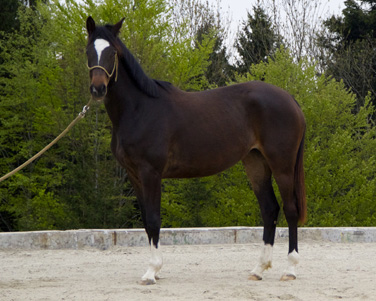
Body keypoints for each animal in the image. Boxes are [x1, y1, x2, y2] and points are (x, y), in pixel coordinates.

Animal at [86, 16, 306, 284]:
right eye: (88, 50)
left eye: (112, 52)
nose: (98, 89)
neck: (140, 109)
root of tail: (290, 99)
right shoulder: (134, 175)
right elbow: (147, 222)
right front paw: (154, 270)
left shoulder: (151, 173)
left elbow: (154, 220)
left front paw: (152, 271)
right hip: (256, 163)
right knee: (269, 209)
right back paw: (258, 269)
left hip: (282, 165)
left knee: (290, 210)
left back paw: (291, 269)